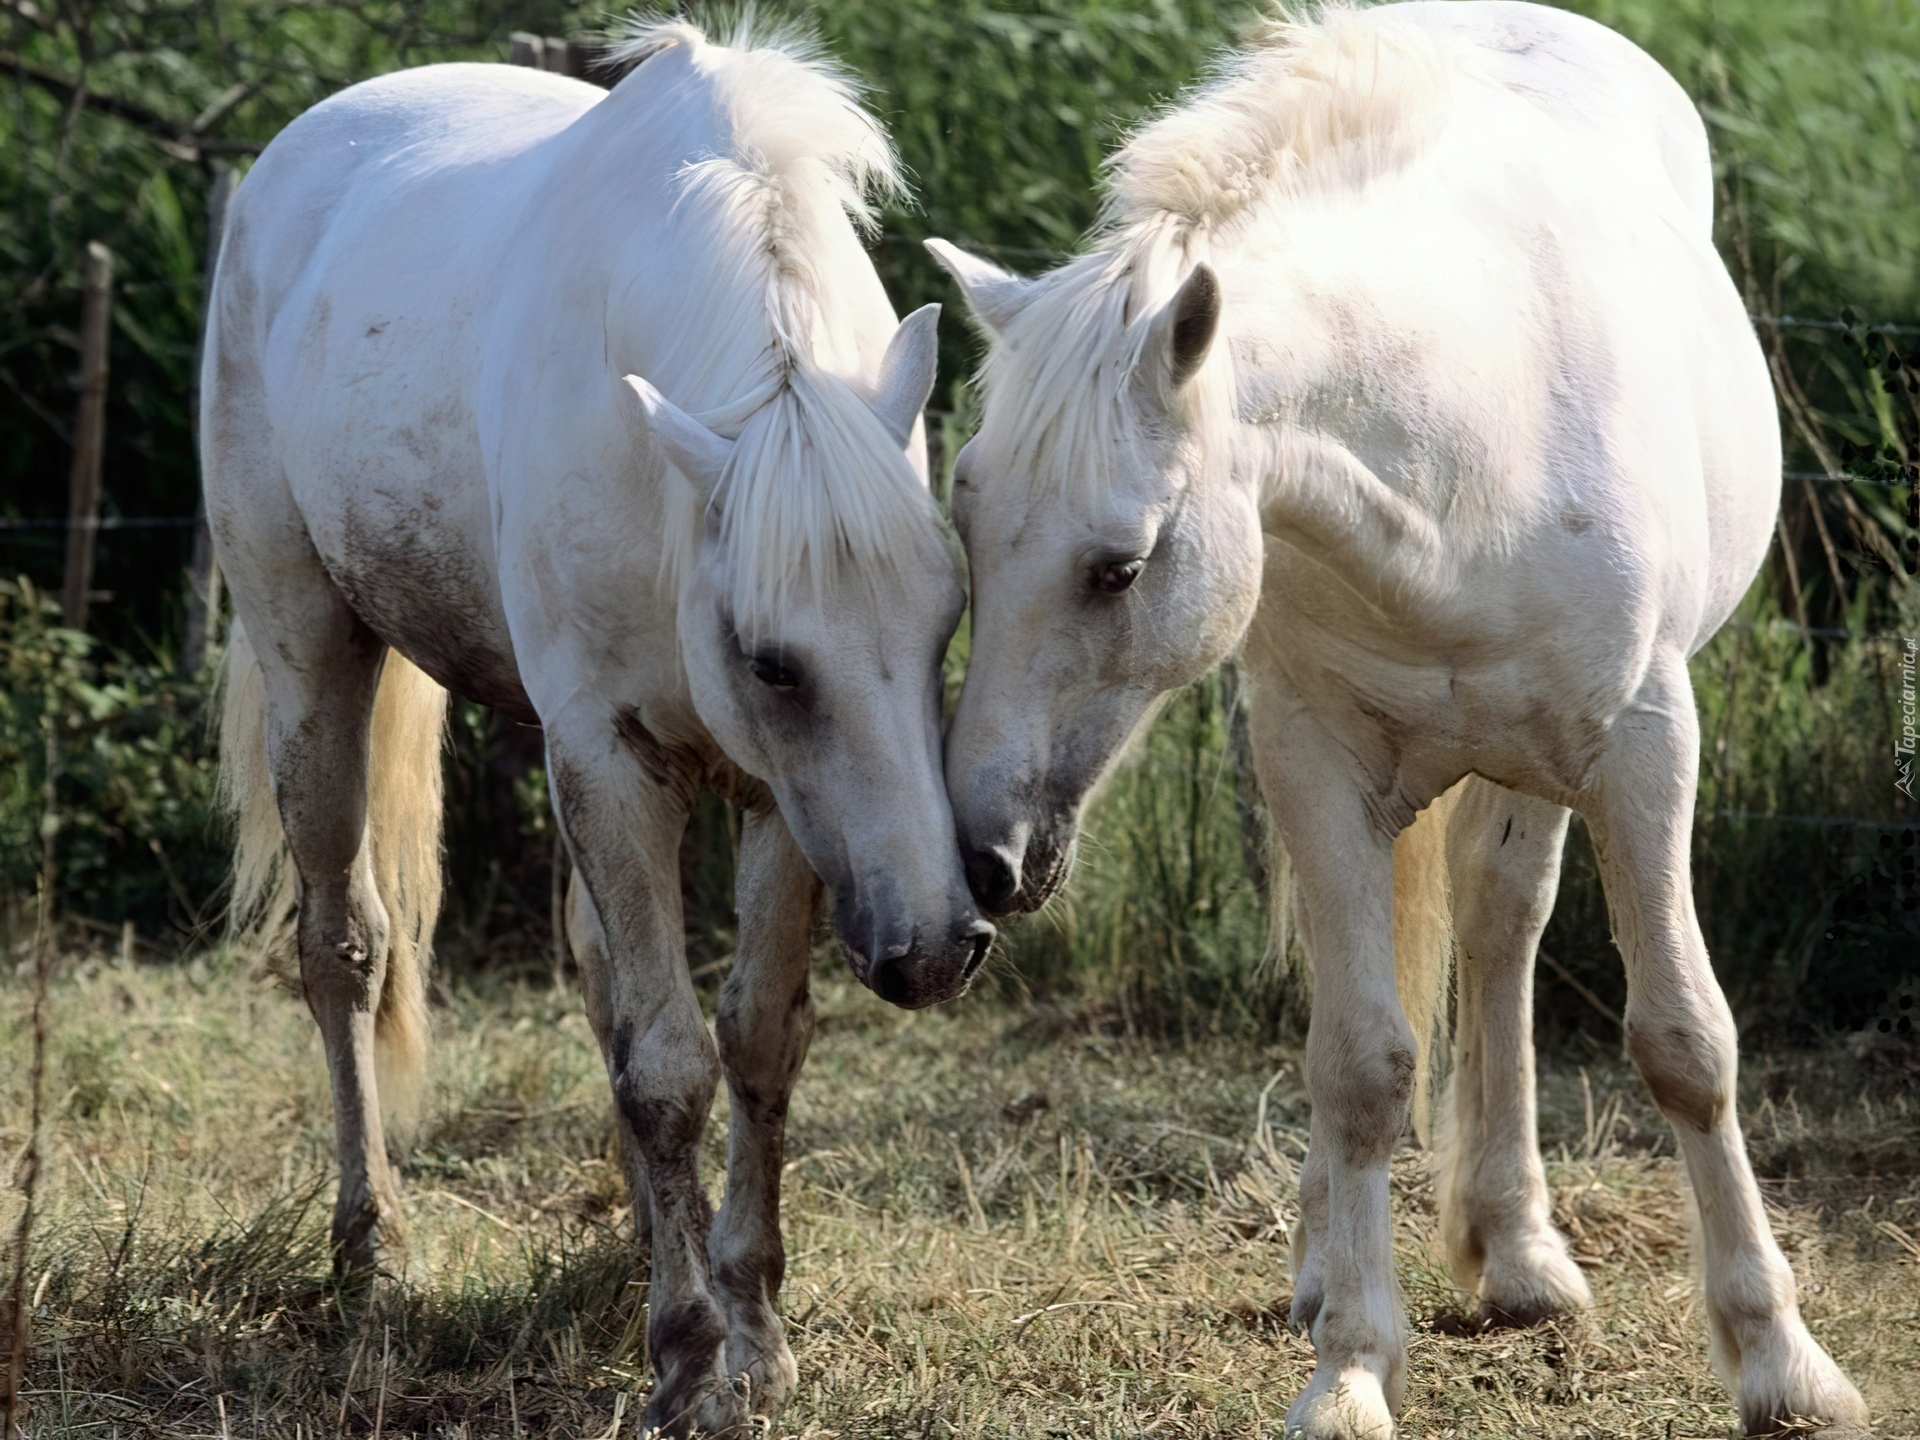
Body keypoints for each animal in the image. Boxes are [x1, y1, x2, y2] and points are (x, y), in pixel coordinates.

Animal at [208, 19, 990, 1436]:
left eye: (947, 618)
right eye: (772, 661)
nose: (936, 950)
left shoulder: (777, 803)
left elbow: (751, 1036)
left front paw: (752, 1326)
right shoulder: (616, 761)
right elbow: (668, 1061)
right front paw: (687, 1358)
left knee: (597, 976)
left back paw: (638, 1240)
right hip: (311, 654)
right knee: (344, 945)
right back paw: (372, 1246)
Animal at [929, 5, 1858, 1436]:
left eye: (1119, 568)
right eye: (964, 530)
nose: (985, 856)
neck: (1460, 458)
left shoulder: (1647, 748)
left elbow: (1686, 1042)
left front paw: (1781, 1360)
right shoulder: (1312, 758)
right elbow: (1362, 1062)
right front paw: (1352, 1367)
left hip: (1538, 766)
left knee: (1500, 922)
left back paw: (1521, 1253)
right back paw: (1348, 1262)